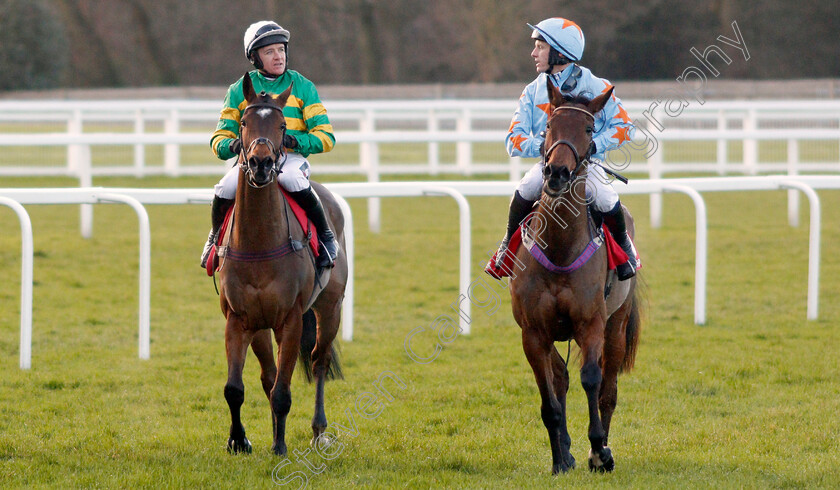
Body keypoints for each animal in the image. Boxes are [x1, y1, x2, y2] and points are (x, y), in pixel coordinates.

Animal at [220, 74, 348, 458]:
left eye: (281, 126)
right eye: (243, 122)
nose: (261, 163)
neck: (259, 243)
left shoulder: (291, 319)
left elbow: (283, 390)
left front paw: (279, 446)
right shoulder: (239, 319)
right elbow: (237, 388)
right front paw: (239, 440)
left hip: (329, 307)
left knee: (319, 360)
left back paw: (318, 431)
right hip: (262, 327)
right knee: (269, 375)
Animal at [512, 83, 644, 474]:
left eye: (588, 129)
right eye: (549, 125)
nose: (556, 172)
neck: (559, 251)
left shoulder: (591, 324)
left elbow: (592, 379)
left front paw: (599, 450)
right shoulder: (532, 333)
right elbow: (550, 401)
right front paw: (560, 459)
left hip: (616, 325)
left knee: (608, 388)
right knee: (561, 377)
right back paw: (568, 450)